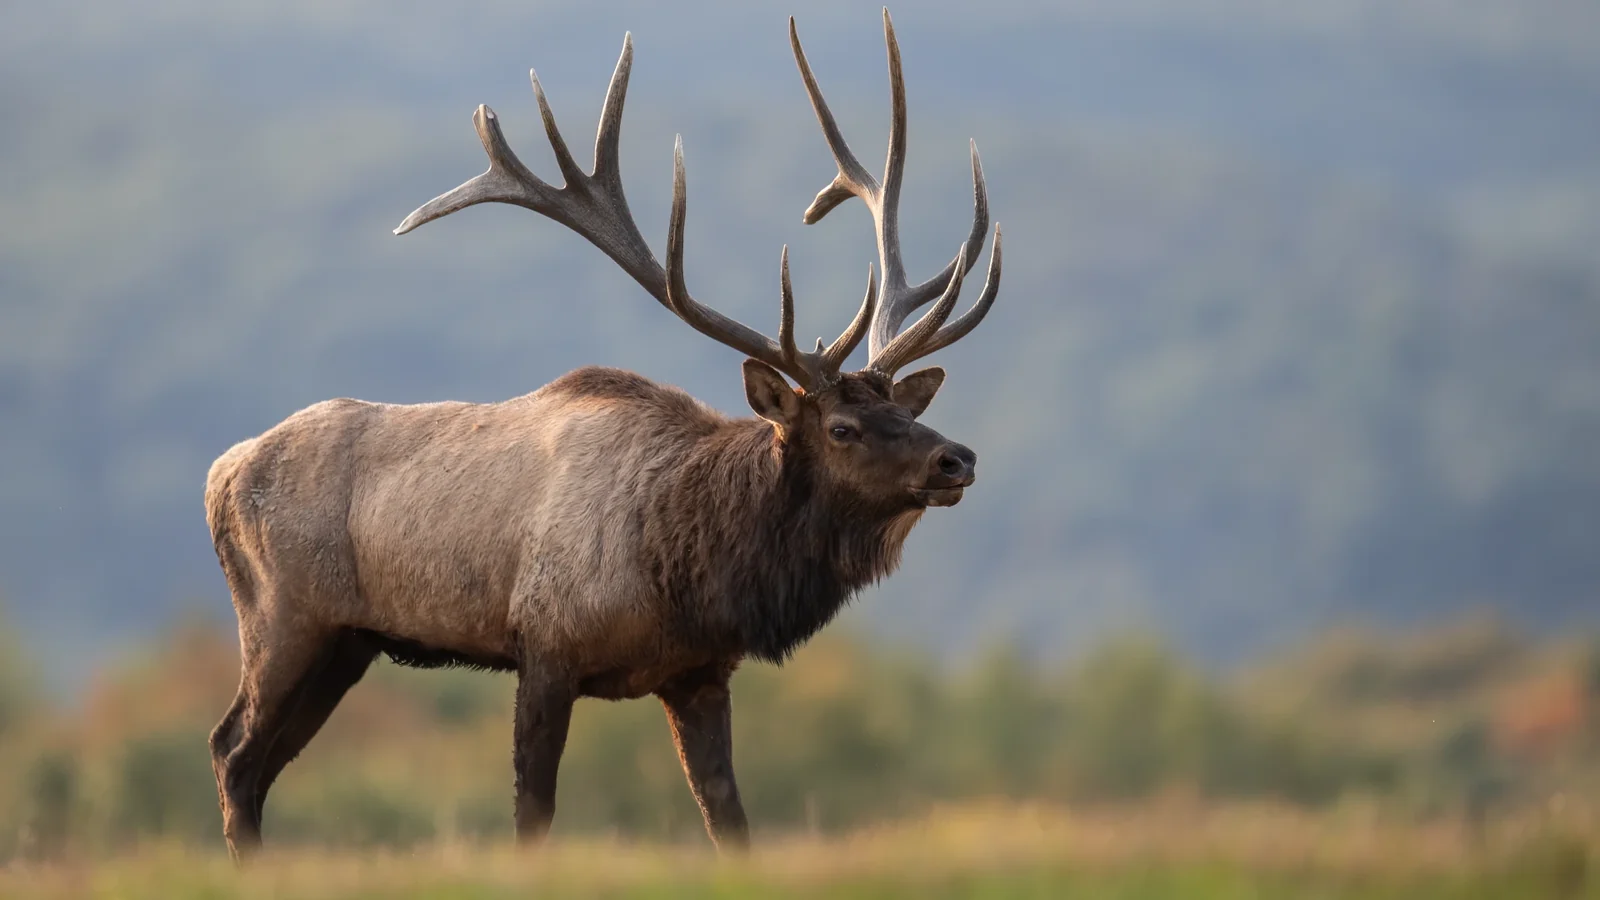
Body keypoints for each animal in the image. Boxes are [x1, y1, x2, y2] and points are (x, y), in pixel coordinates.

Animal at [204, 9, 1000, 859]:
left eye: (905, 413)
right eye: (844, 427)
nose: (956, 459)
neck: (690, 567)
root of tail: (220, 472)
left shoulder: (698, 673)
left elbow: (729, 818)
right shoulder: (545, 648)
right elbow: (533, 814)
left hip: (346, 641)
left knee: (260, 762)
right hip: (285, 618)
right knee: (232, 749)